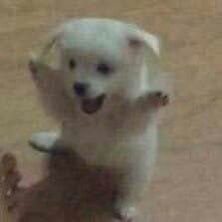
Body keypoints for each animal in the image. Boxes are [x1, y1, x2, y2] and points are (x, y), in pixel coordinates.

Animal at [28, 17, 169, 222]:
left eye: (104, 68)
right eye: (71, 64)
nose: (78, 86)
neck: (97, 115)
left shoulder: (129, 122)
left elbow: (137, 109)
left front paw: (153, 97)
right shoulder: (64, 107)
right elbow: (53, 90)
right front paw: (37, 66)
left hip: (137, 170)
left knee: (130, 190)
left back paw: (126, 207)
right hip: (70, 135)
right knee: (65, 141)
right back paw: (49, 141)